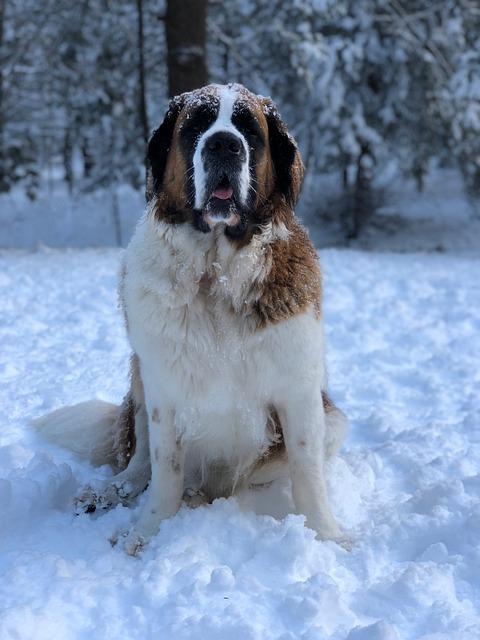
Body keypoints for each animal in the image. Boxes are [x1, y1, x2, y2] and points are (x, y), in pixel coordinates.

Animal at [34, 84, 348, 556]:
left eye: (248, 130)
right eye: (197, 125)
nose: (223, 144)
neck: (216, 273)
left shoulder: (300, 390)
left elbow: (307, 471)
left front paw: (328, 537)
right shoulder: (163, 389)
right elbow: (165, 469)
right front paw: (146, 531)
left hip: (333, 421)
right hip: (139, 379)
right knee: (140, 461)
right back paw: (112, 492)